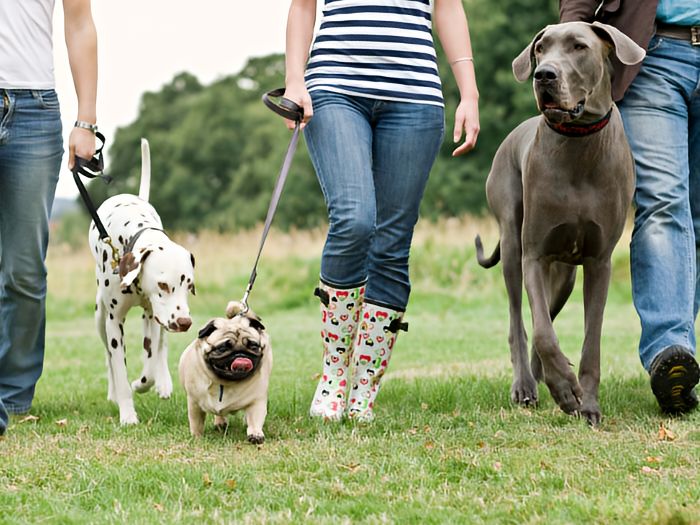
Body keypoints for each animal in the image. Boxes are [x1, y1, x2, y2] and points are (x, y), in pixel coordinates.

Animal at [89, 138, 197, 422]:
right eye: (163, 285)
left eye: (188, 286)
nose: (185, 322)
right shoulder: (114, 323)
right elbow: (118, 367)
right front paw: (127, 414)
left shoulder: (153, 316)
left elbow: (150, 363)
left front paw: (144, 383)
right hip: (100, 318)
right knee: (107, 356)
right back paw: (113, 393)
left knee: (161, 347)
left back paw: (164, 381)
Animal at [178, 300, 270, 440]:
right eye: (222, 348)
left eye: (253, 346)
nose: (240, 354)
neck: (225, 382)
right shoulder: (194, 403)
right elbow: (196, 422)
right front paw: (196, 437)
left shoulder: (257, 400)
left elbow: (255, 418)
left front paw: (255, 434)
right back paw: (220, 423)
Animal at [476, 22, 644, 426]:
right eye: (541, 48)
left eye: (579, 47)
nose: (543, 75)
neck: (578, 144)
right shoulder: (534, 255)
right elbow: (542, 333)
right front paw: (566, 389)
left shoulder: (599, 262)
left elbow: (591, 341)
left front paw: (588, 403)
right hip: (512, 242)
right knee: (520, 322)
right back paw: (527, 384)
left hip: (565, 275)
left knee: (547, 313)